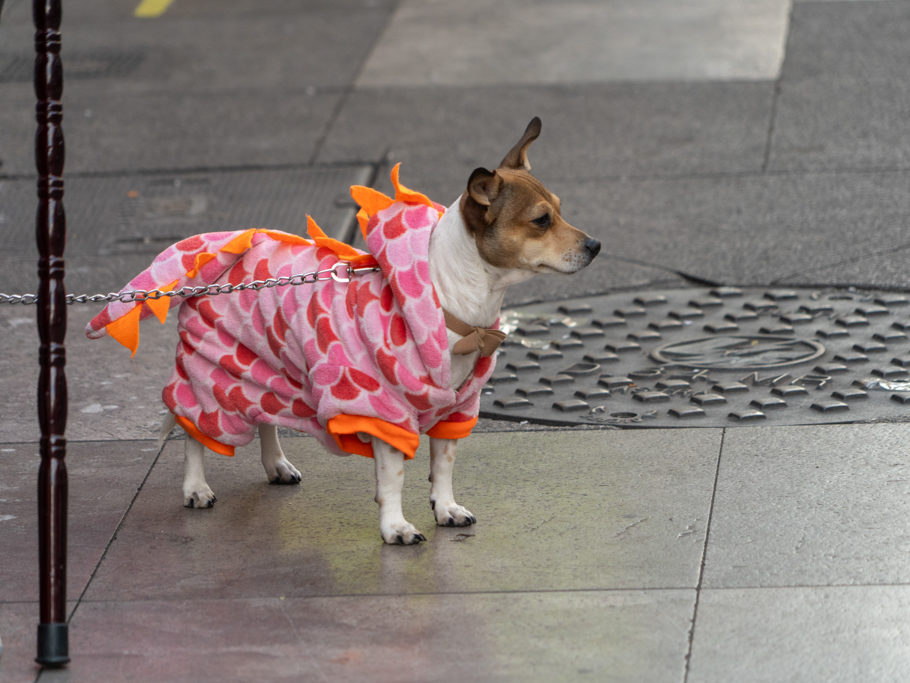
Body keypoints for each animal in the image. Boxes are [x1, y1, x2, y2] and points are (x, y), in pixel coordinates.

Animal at [85, 119, 600, 544]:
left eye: (561, 210)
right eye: (541, 220)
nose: (596, 244)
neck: (453, 302)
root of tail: (220, 261)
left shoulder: (456, 407)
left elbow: (443, 465)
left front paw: (446, 508)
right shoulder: (383, 410)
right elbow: (393, 477)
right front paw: (395, 527)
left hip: (263, 368)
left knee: (265, 417)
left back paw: (276, 465)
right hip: (213, 377)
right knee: (195, 432)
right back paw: (195, 487)